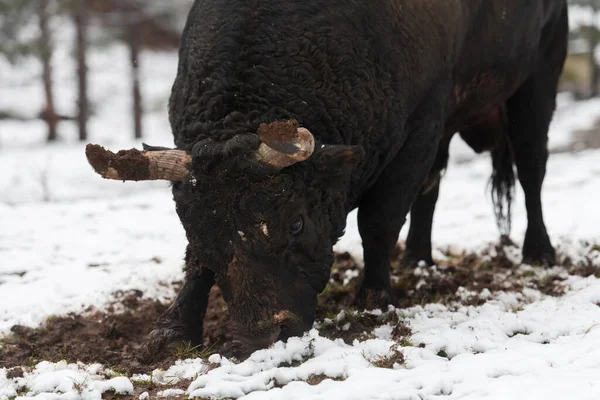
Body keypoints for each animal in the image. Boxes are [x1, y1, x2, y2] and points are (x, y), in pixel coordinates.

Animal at [85, 0, 568, 354]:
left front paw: (375, 299)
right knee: (433, 187)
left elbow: (378, 223)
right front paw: (172, 328)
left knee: (531, 167)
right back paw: (418, 260)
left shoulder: (420, 125)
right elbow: (195, 262)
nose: (260, 336)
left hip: (538, 75)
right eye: (195, 227)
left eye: (296, 222)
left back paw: (539, 251)